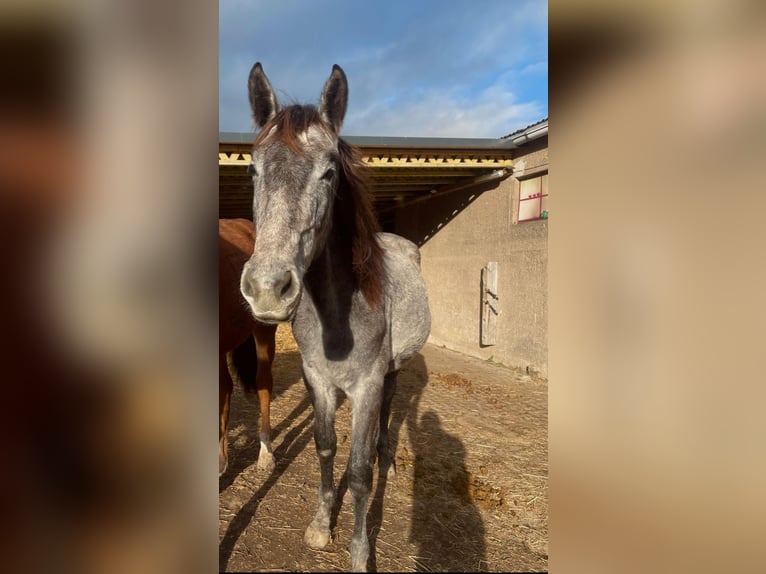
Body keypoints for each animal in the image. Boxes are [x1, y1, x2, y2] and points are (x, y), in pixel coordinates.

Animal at [239, 63, 431, 571]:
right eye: (252, 169)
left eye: (328, 173)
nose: (268, 289)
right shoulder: (317, 378)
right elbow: (326, 447)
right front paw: (321, 525)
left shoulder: (364, 385)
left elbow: (359, 471)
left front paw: (360, 551)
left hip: (393, 372)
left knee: (387, 413)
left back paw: (390, 462)